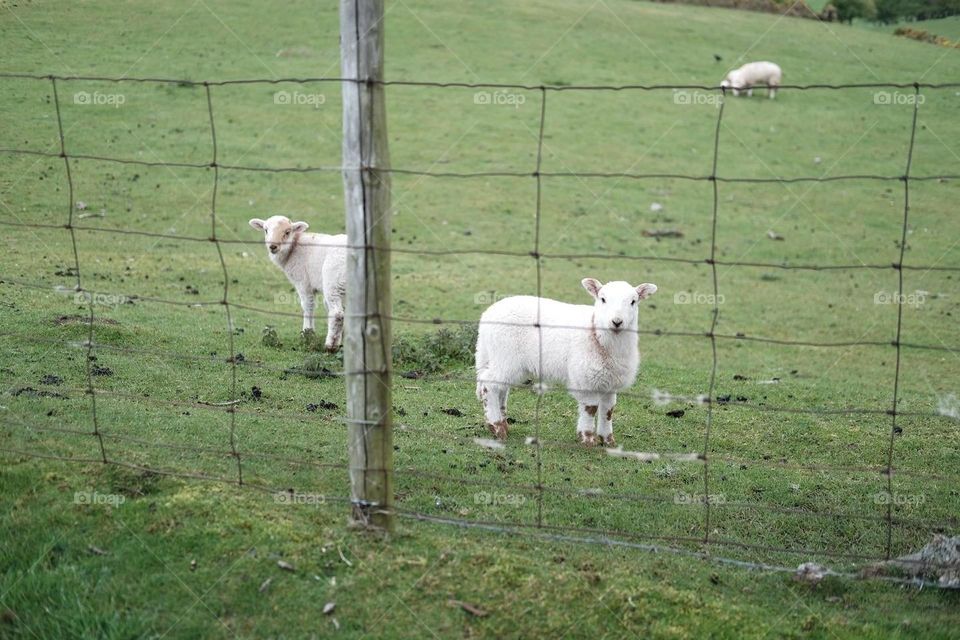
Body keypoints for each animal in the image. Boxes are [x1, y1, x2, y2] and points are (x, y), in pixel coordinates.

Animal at [248, 215, 347, 352]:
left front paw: (307, 333)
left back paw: (330, 346)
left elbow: (308, 306)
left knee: (337, 314)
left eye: (287, 232)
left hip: (333, 280)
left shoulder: (303, 282)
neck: (293, 248)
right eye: (266, 230)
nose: (273, 246)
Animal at [475, 278, 657, 446]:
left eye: (633, 301)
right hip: (505, 355)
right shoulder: (585, 378)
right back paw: (496, 427)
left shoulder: (610, 381)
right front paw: (587, 439)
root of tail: (487, 316)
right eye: (603, 299)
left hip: (501, 358)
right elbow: (591, 408)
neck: (596, 333)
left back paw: (503, 424)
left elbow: (608, 410)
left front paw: (608, 440)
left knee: (501, 388)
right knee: (489, 384)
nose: (617, 322)